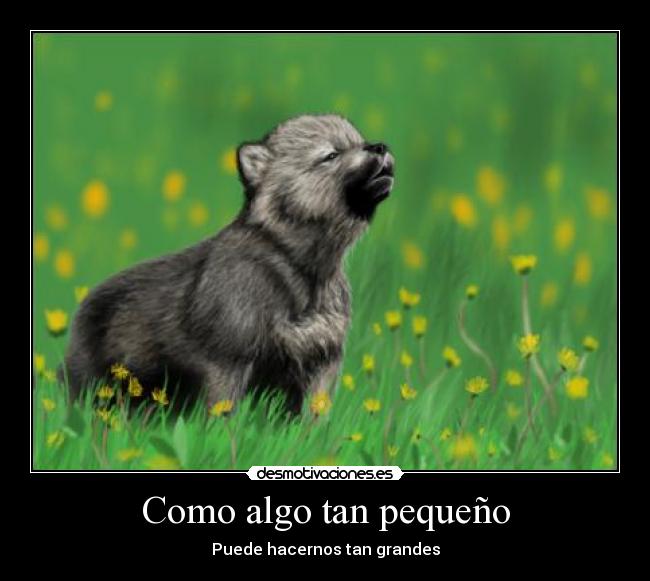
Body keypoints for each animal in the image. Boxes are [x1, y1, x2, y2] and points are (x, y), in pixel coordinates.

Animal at [61, 114, 395, 413]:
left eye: (360, 141)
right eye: (331, 155)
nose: (380, 147)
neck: (302, 274)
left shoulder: (321, 362)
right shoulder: (227, 361)